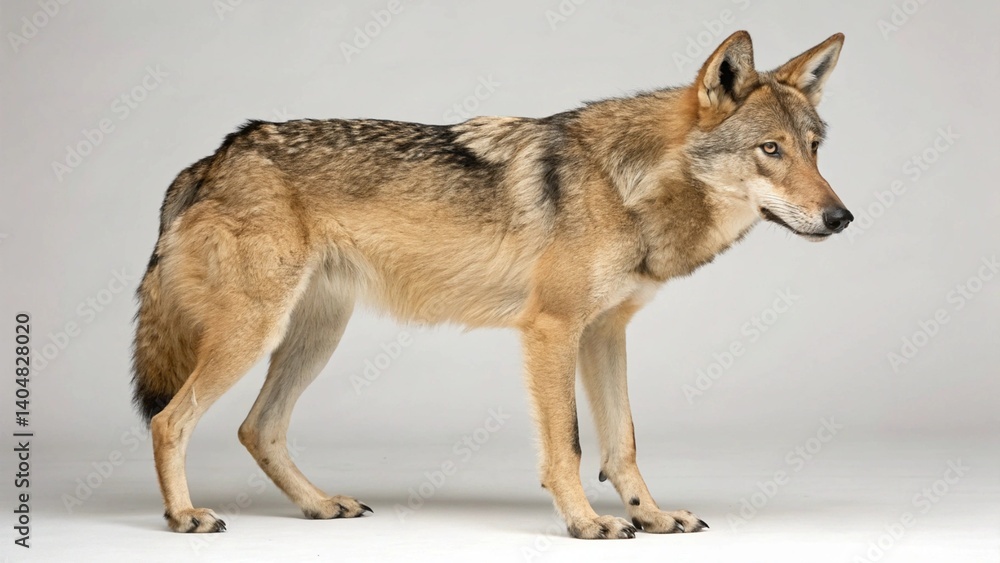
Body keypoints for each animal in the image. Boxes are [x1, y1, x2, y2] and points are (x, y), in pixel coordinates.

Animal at [132, 31, 851, 538]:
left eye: (814, 148)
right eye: (770, 150)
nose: (842, 218)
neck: (628, 187)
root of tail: (214, 157)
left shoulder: (605, 333)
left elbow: (622, 442)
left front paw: (652, 516)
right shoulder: (552, 331)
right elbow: (569, 443)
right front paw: (586, 521)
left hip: (313, 336)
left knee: (257, 429)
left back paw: (320, 505)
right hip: (254, 334)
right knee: (169, 420)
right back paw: (185, 516)